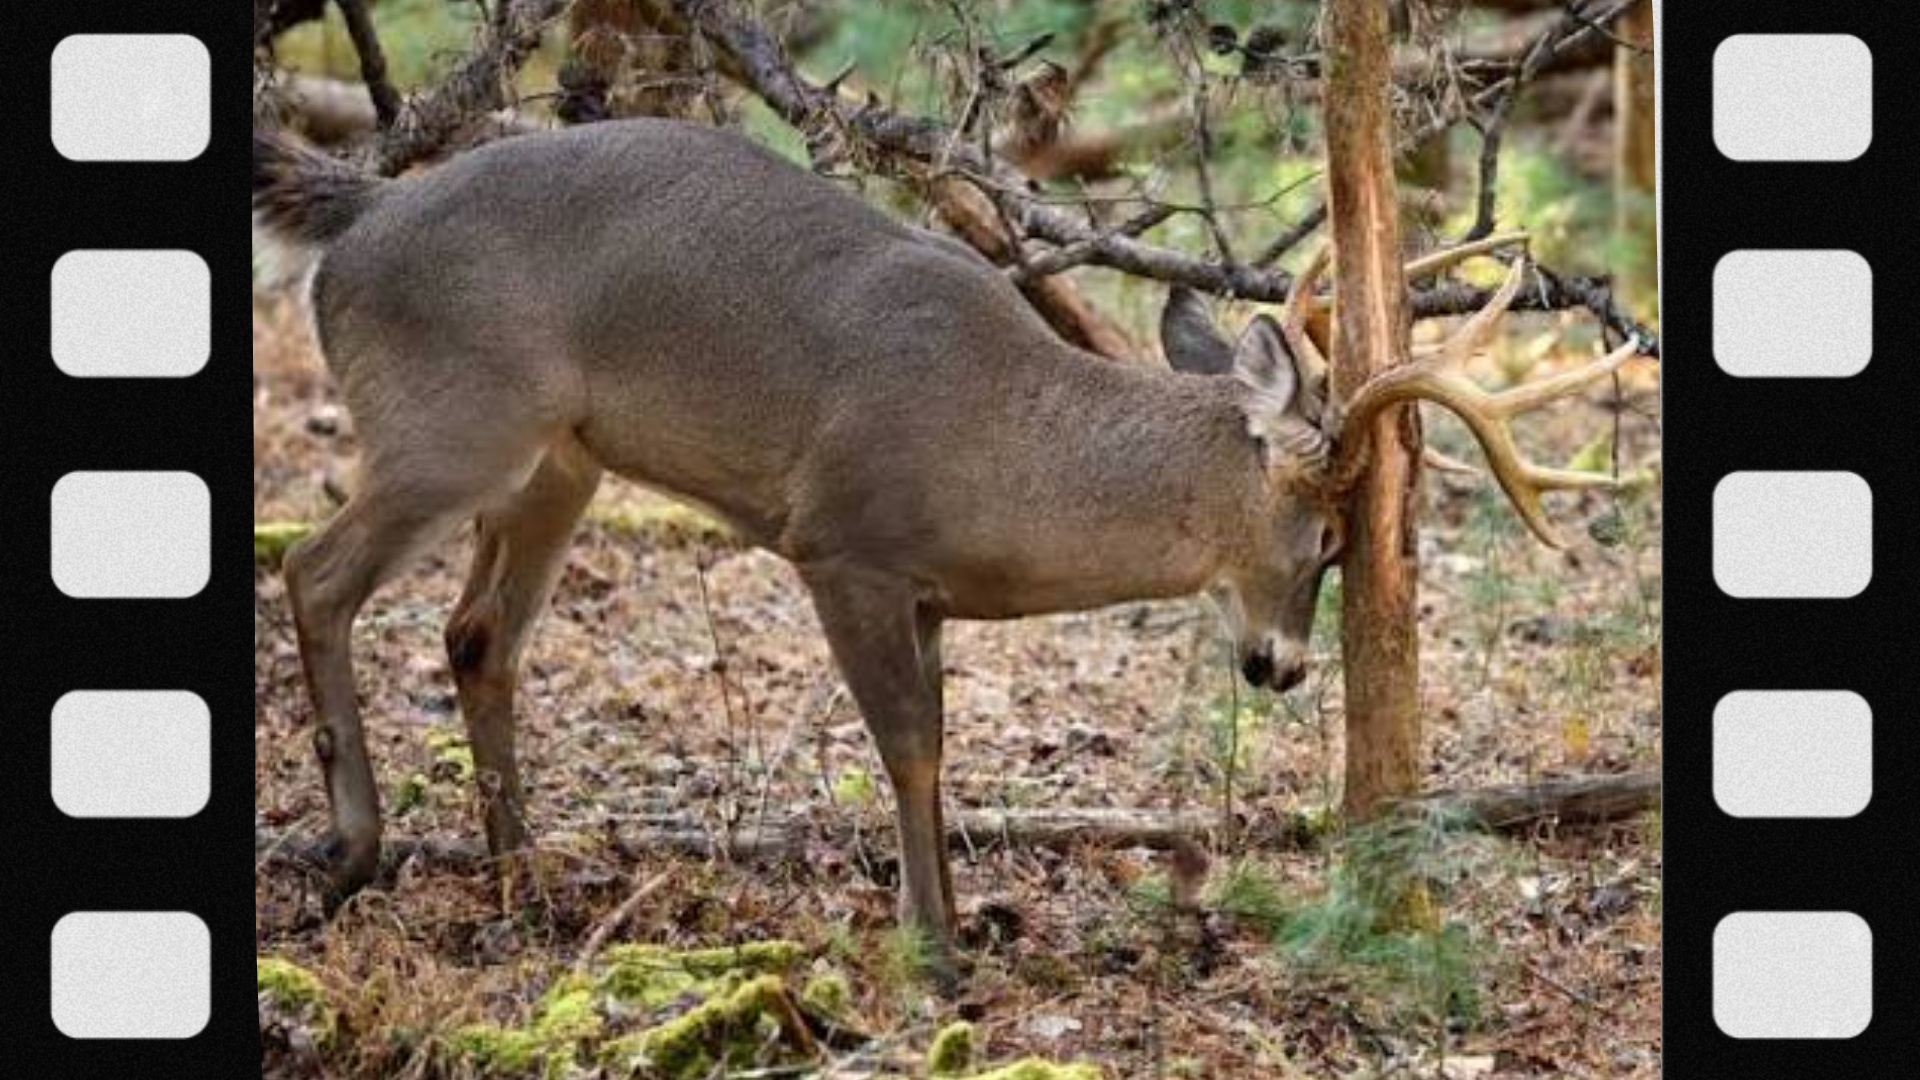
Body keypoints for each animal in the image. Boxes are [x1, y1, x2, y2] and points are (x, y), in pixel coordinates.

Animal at [253, 118, 1640, 972]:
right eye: (1329, 535)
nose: (1282, 668)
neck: (1000, 448)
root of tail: (358, 218)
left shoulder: (924, 592)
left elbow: (938, 745)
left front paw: (958, 921)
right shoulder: (843, 542)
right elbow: (908, 741)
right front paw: (936, 948)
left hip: (560, 459)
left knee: (475, 633)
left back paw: (522, 880)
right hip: (452, 423)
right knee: (312, 572)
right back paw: (354, 852)